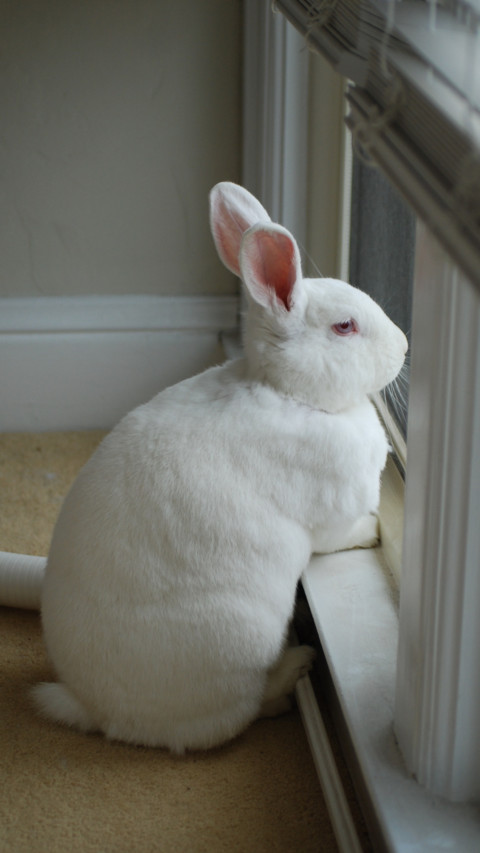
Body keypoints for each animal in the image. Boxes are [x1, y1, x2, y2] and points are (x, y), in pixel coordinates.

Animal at [33, 181, 408, 753]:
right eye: (345, 327)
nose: (405, 346)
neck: (290, 393)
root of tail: (97, 710)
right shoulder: (329, 514)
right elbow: (341, 535)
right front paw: (375, 530)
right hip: (242, 640)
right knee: (243, 711)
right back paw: (296, 667)